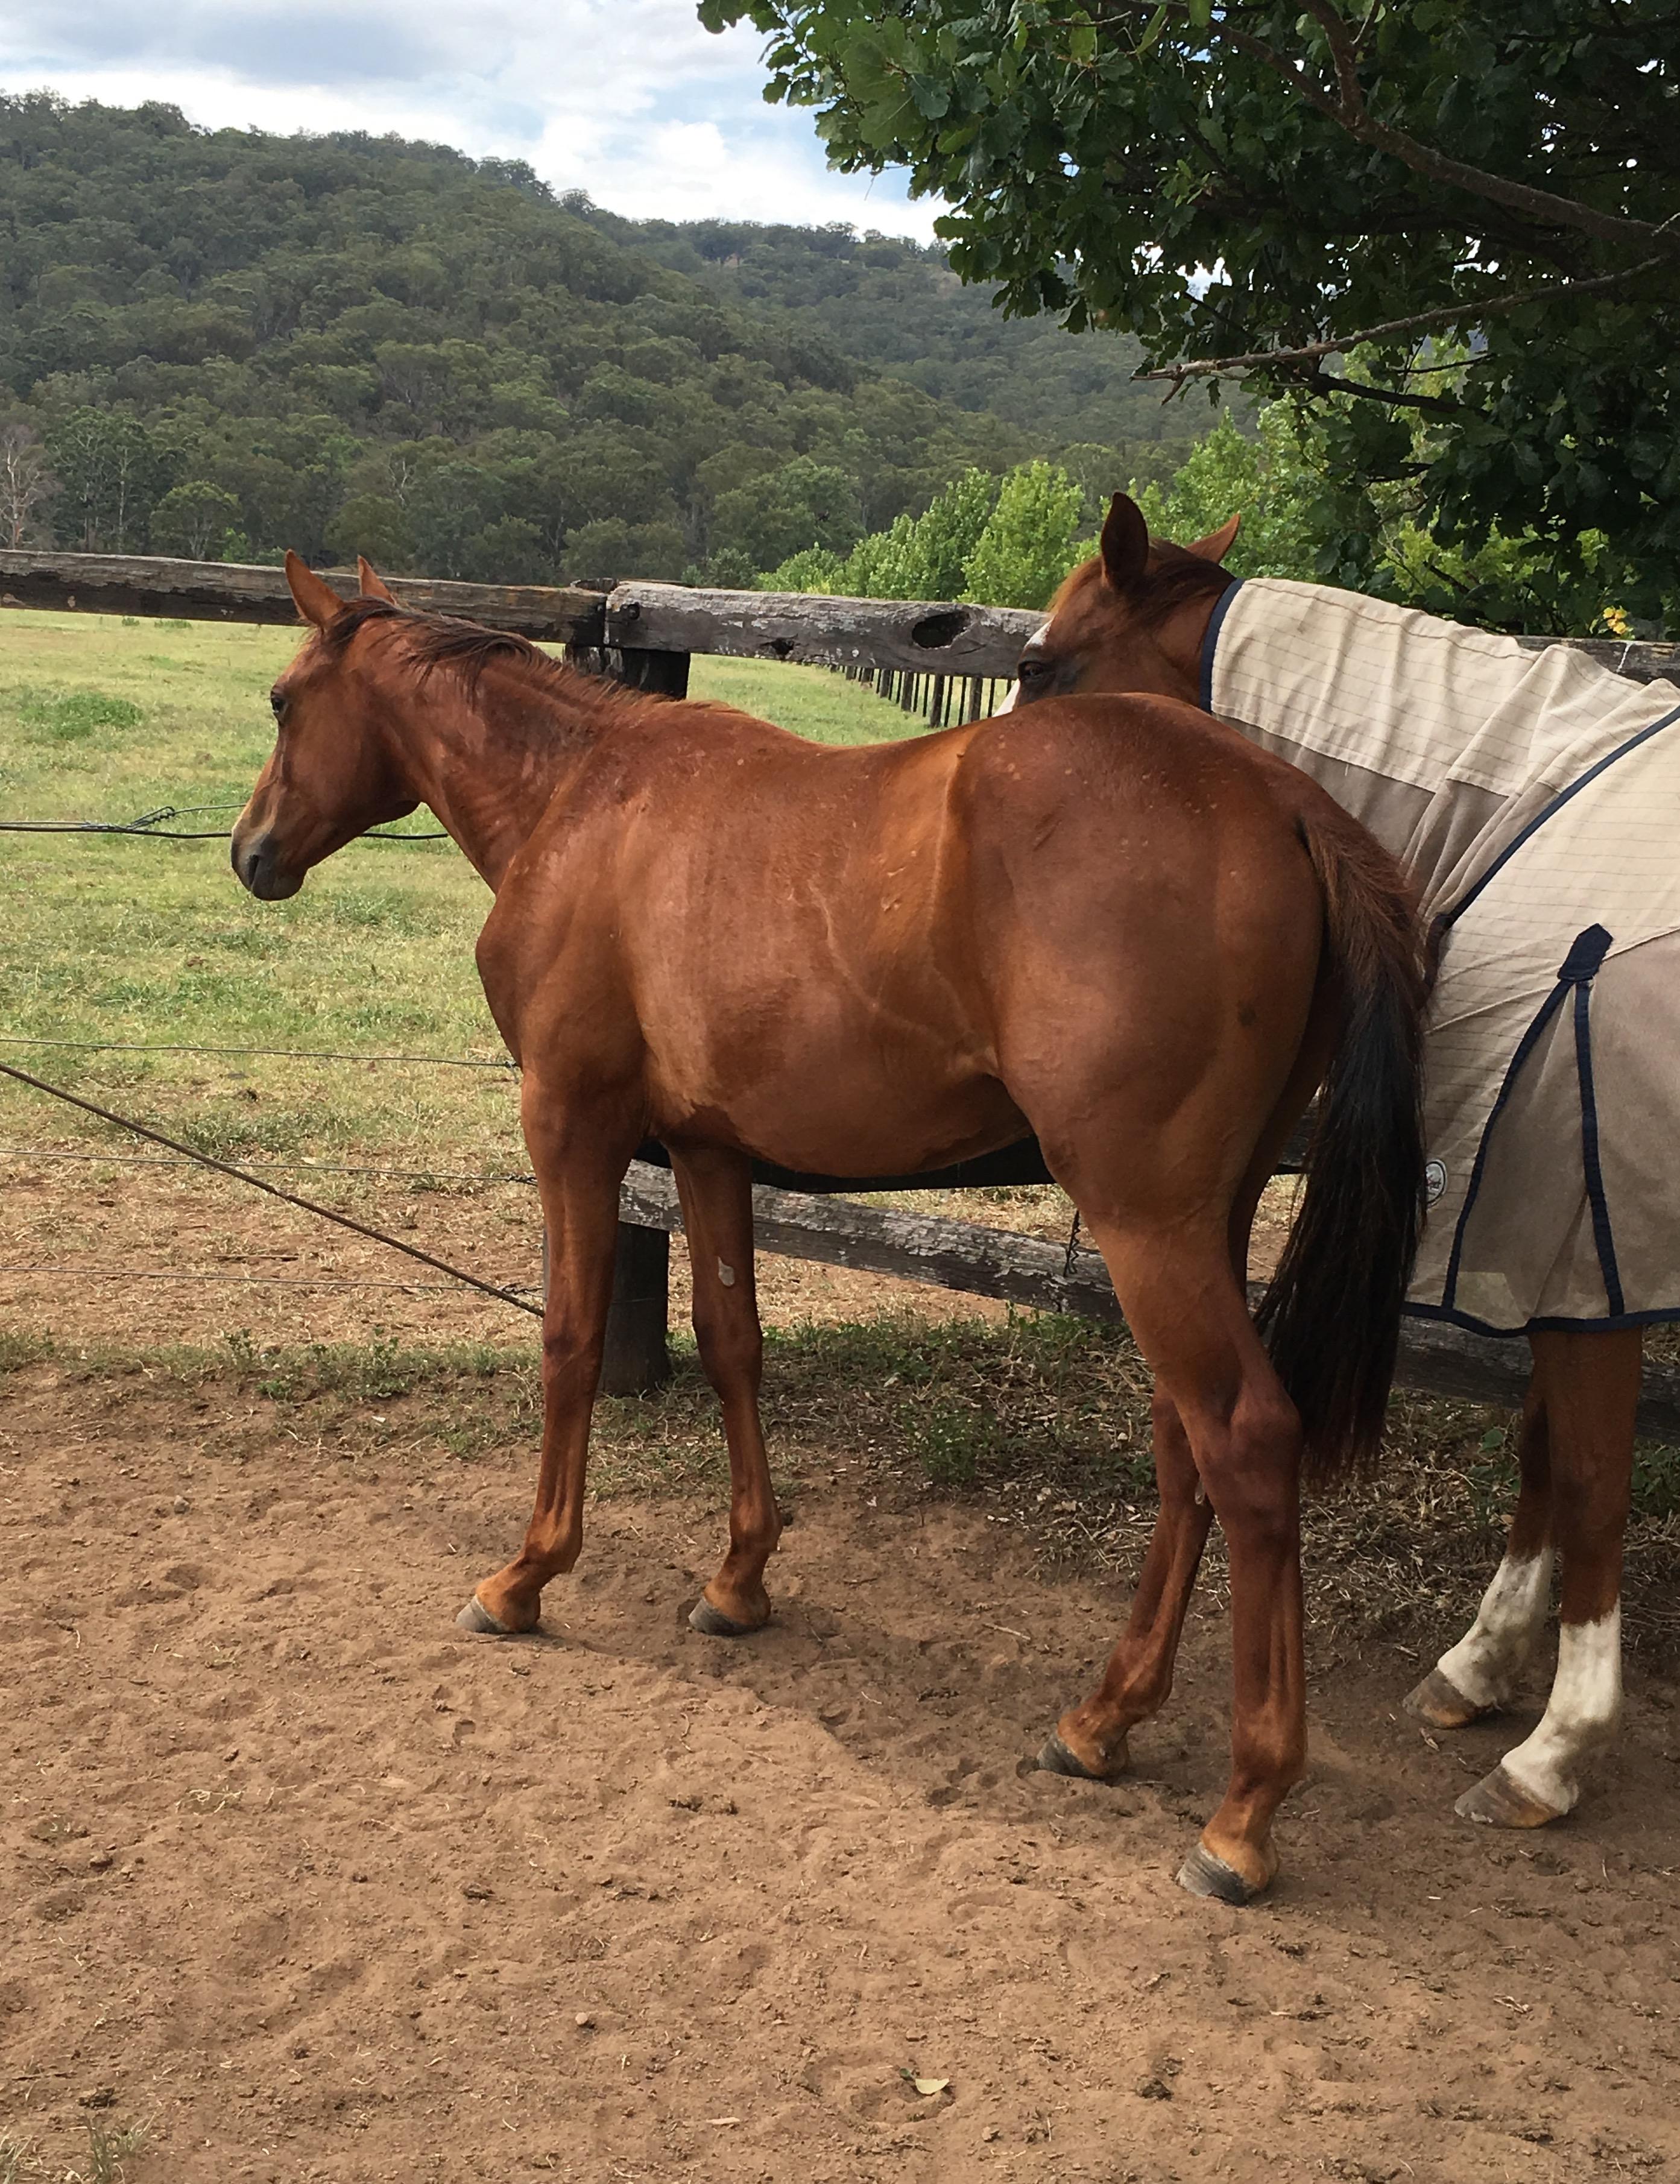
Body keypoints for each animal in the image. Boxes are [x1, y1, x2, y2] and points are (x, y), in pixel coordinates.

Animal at [230, 549, 1426, 1904]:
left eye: (281, 699)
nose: (251, 851)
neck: (583, 800)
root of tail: (1279, 795)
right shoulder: (707, 1152)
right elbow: (731, 1343)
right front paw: (739, 1578)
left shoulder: (572, 1130)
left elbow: (571, 1344)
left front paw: (526, 1573)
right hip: (1200, 1221)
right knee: (1188, 1446)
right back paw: (1104, 1716)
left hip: (1145, 1225)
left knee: (1246, 1439)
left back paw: (1242, 1811)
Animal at [1014, 491, 1680, 1835]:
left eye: (1047, 665)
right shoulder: (1547, 1255)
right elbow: (1544, 1456)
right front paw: (1478, 1669)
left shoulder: (1583, 1259)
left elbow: (1590, 1477)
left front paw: (1556, 1748)